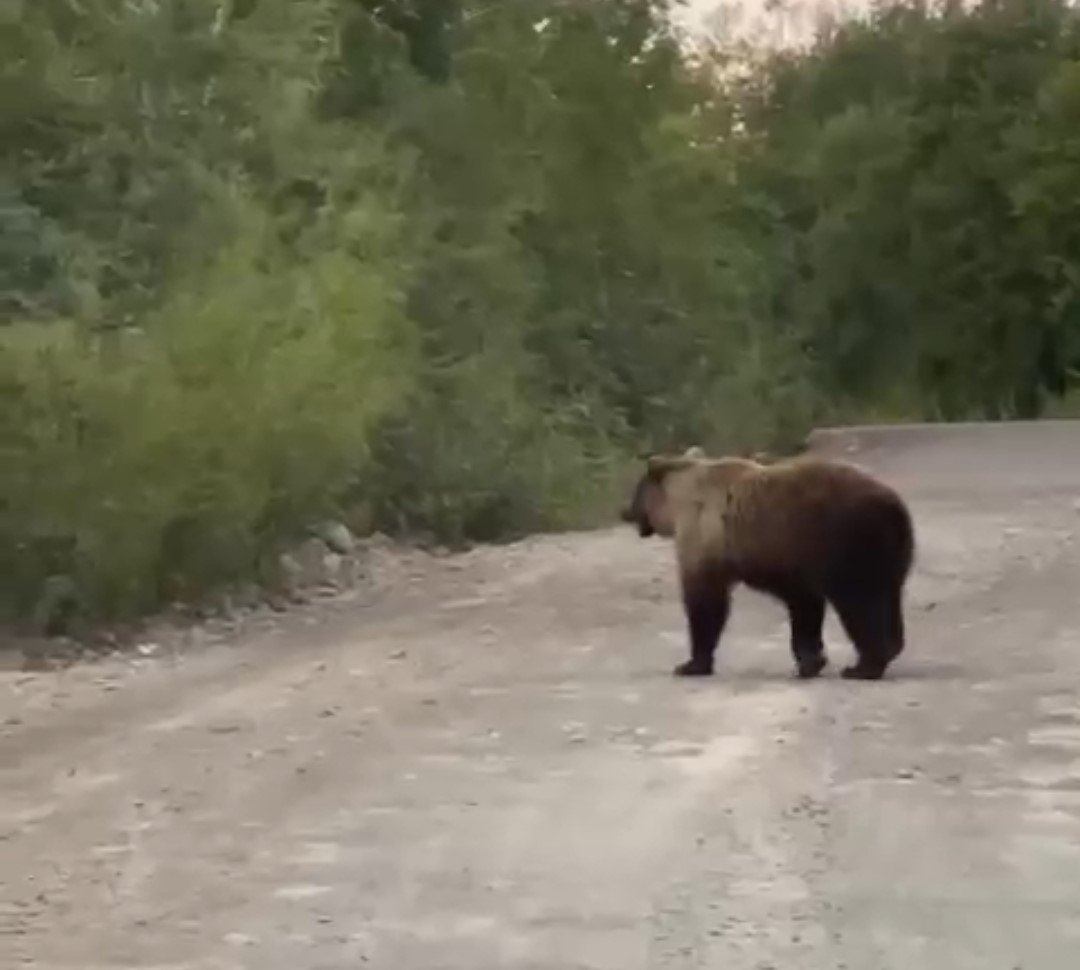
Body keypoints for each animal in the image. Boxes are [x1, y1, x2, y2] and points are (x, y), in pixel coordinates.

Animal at [622, 447, 915, 682]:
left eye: (636, 492)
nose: (625, 511)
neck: (681, 502)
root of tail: (892, 505)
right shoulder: (791, 562)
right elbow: (804, 605)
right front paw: (810, 662)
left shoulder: (707, 540)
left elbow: (706, 604)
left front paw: (690, 664)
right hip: (891, 552)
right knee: (888, 598)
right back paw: (889, 651)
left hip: (849, 542)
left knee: (860, 603)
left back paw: (863, 667)